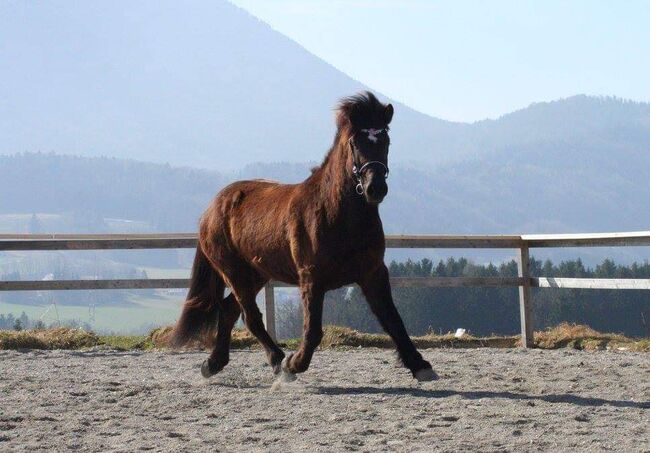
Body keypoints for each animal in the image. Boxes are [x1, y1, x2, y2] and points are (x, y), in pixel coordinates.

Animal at [171, 91, 436, 382]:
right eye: (356, 141)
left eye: (385, 139)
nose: (375, 188)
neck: (337, 214)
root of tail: (212, 207)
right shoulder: (311, 277)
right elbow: (313, 330)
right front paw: (294, 363)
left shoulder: (373, 272)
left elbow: (393, 320)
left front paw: (420, 365)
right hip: (234, 272)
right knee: (250, 316)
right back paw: (278, 362)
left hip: (257, 272)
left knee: (230, 310)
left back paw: (214, 363)